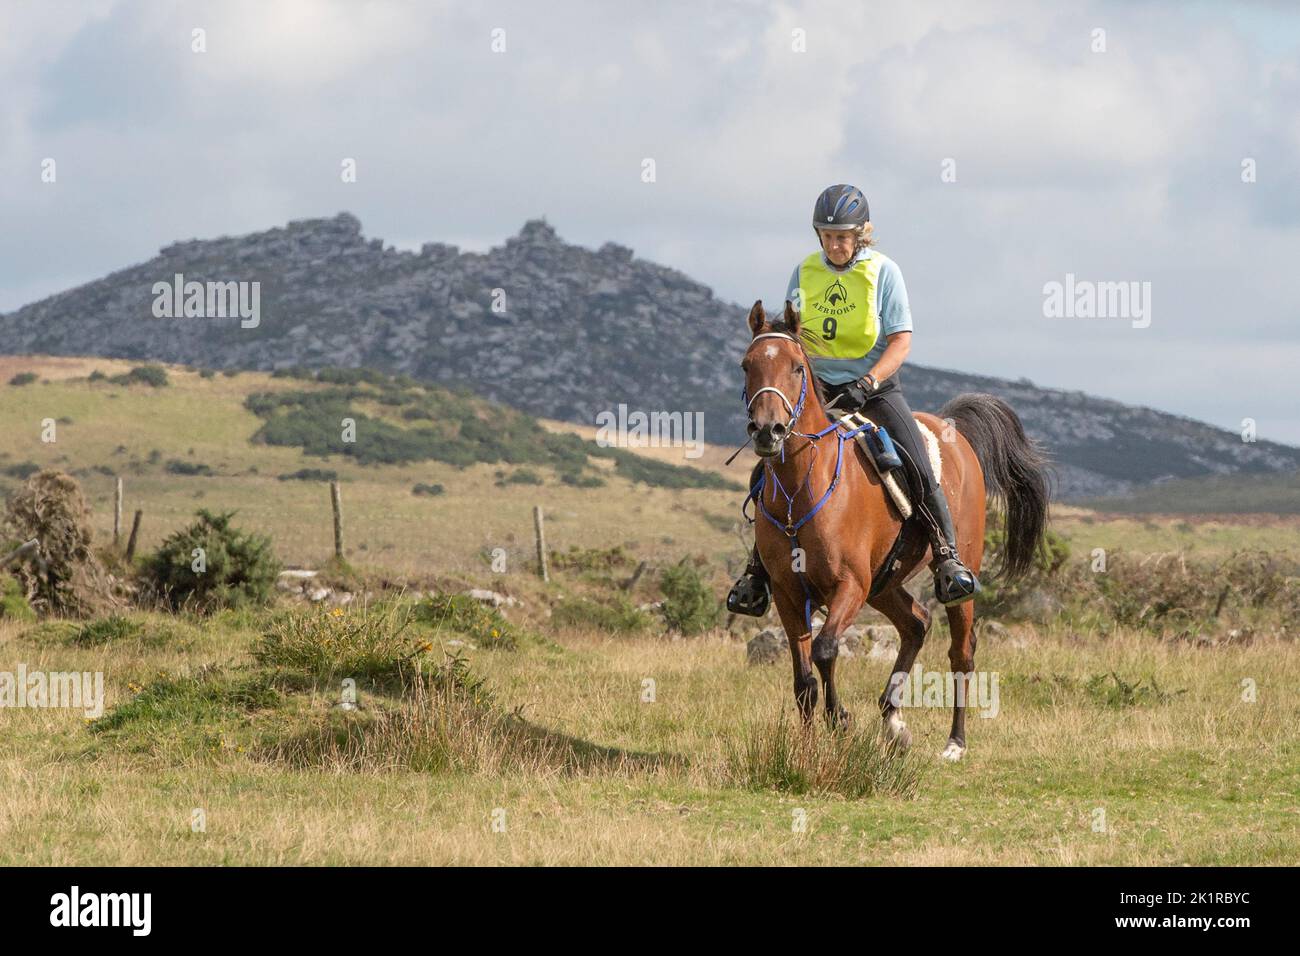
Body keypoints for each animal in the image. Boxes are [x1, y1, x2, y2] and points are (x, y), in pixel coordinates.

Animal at [738, 300, 1050, 764]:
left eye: (795, 367)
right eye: (747, 366)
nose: (767, 431)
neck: (800, 489)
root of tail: (950, 426)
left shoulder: (850, 583)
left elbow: (826, 650)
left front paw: (840, 720)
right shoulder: (788, 593)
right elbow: (803, 680)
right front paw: (807, 749)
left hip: (952, 576)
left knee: (961, 653)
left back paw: (954, 743)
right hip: (884, 582)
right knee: (916, 622)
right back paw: (893, 722)